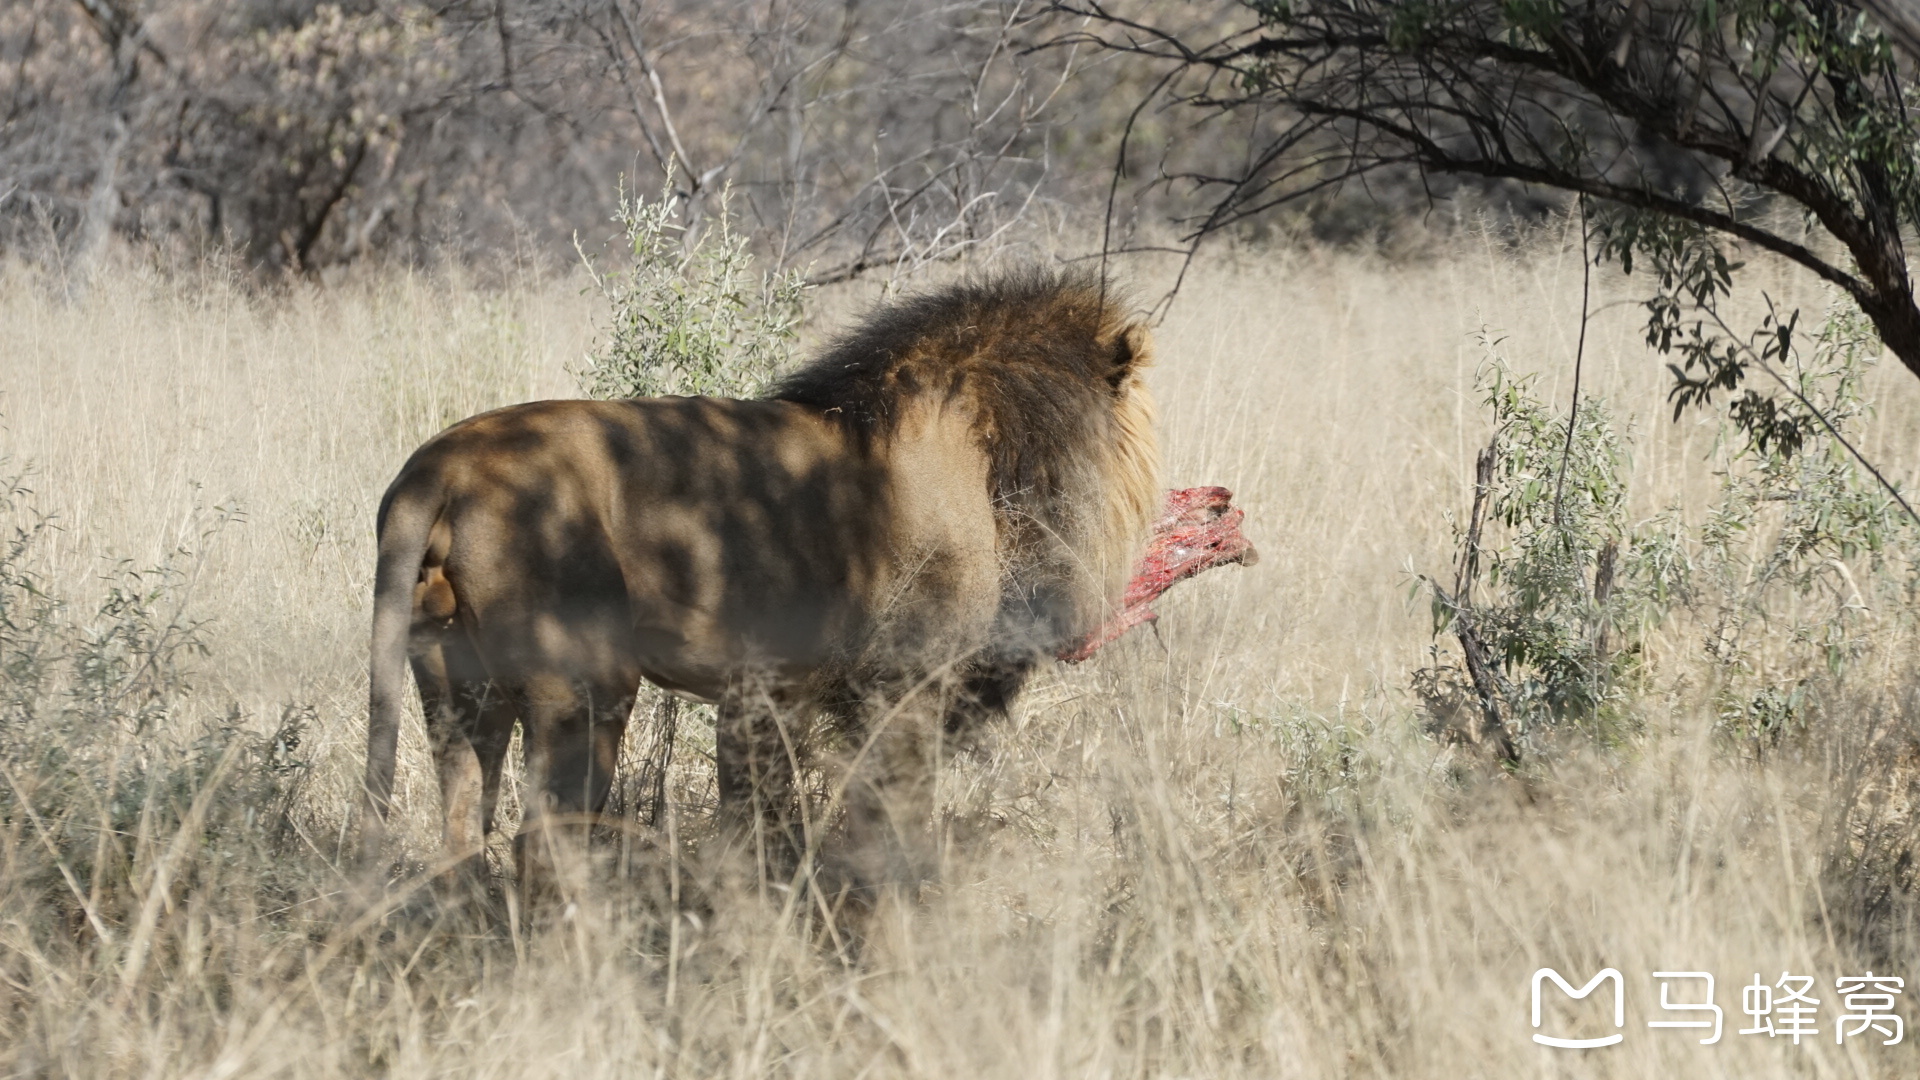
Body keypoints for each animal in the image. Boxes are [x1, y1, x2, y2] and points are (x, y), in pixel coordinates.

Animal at [366, 267, 1159, 891]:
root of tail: (439, 468)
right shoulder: (906, 685)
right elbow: (891, 829)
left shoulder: (769, 689)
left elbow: (761, 823)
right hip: (586, 684)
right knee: (546, 841)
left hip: (452, 685)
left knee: (461, 831)